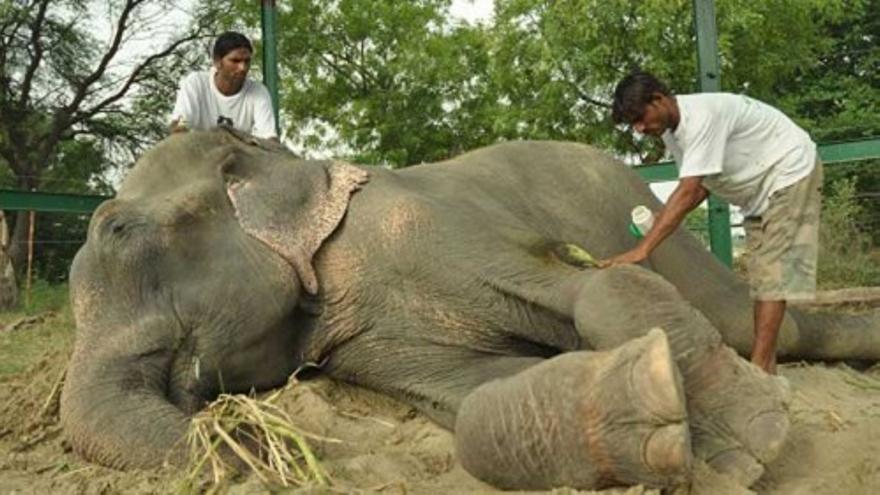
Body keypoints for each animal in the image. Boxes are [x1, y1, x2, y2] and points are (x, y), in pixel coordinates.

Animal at [62, 129, 880, 492]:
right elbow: (476, 401)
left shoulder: (422, 224)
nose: (248, 449)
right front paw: (657, 421)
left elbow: (589, 286)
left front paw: (750, 444)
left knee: (755, 318)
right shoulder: (362, 340)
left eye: (118, 231)